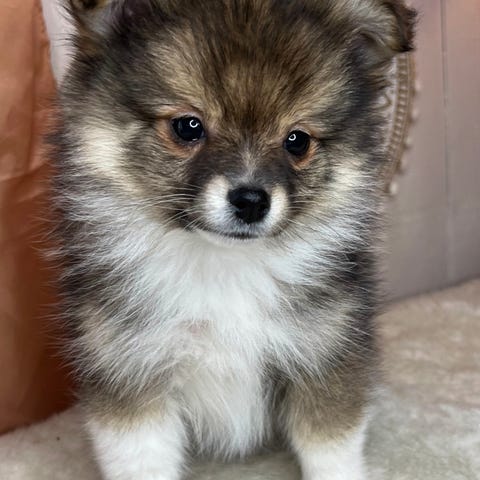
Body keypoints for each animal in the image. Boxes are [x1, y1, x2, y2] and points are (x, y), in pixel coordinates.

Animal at [50, 1, 415, 479]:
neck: (223, 266)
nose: (251, 200)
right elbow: (141, 461)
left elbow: (331, 451)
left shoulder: (325, 354)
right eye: (187, 127)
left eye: (297, 140)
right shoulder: (128, 369)